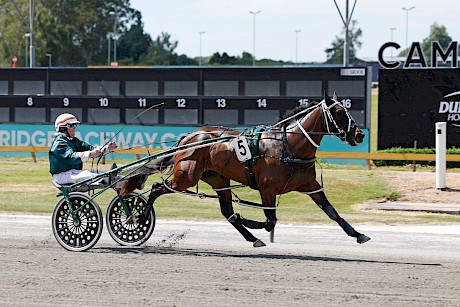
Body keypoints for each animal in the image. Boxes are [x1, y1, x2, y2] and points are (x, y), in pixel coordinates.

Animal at [121, 92, 370, 248]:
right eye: (339, 112)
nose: (359, 135)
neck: (287, 144)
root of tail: (190, 137)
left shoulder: (311, 185)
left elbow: (331, 212)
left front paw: (358, 234)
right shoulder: (267, 189)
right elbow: (270, 221)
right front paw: (252, 222)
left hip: (218, 180)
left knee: (227, 212)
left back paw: (252, 237)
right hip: (186, 177)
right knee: (156, 187)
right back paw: (139, 217)